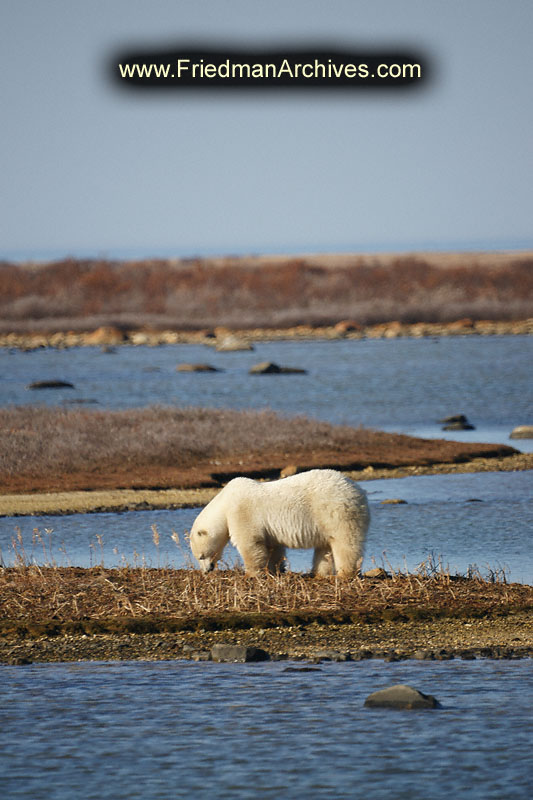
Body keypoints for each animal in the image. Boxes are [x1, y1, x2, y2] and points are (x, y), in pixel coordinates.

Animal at [188, 468, 370, 576]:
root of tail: (359, 491)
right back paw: (318, 573)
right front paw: (275, 569)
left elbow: (249, 543)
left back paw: (345, 573)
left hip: (335, 512)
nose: (207, 570)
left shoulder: (241, 512)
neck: (224, 503)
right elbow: (272, 547)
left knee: (345, 543)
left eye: (201, 556)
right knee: (325, 547)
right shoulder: (267, 528)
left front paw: (251, 573)